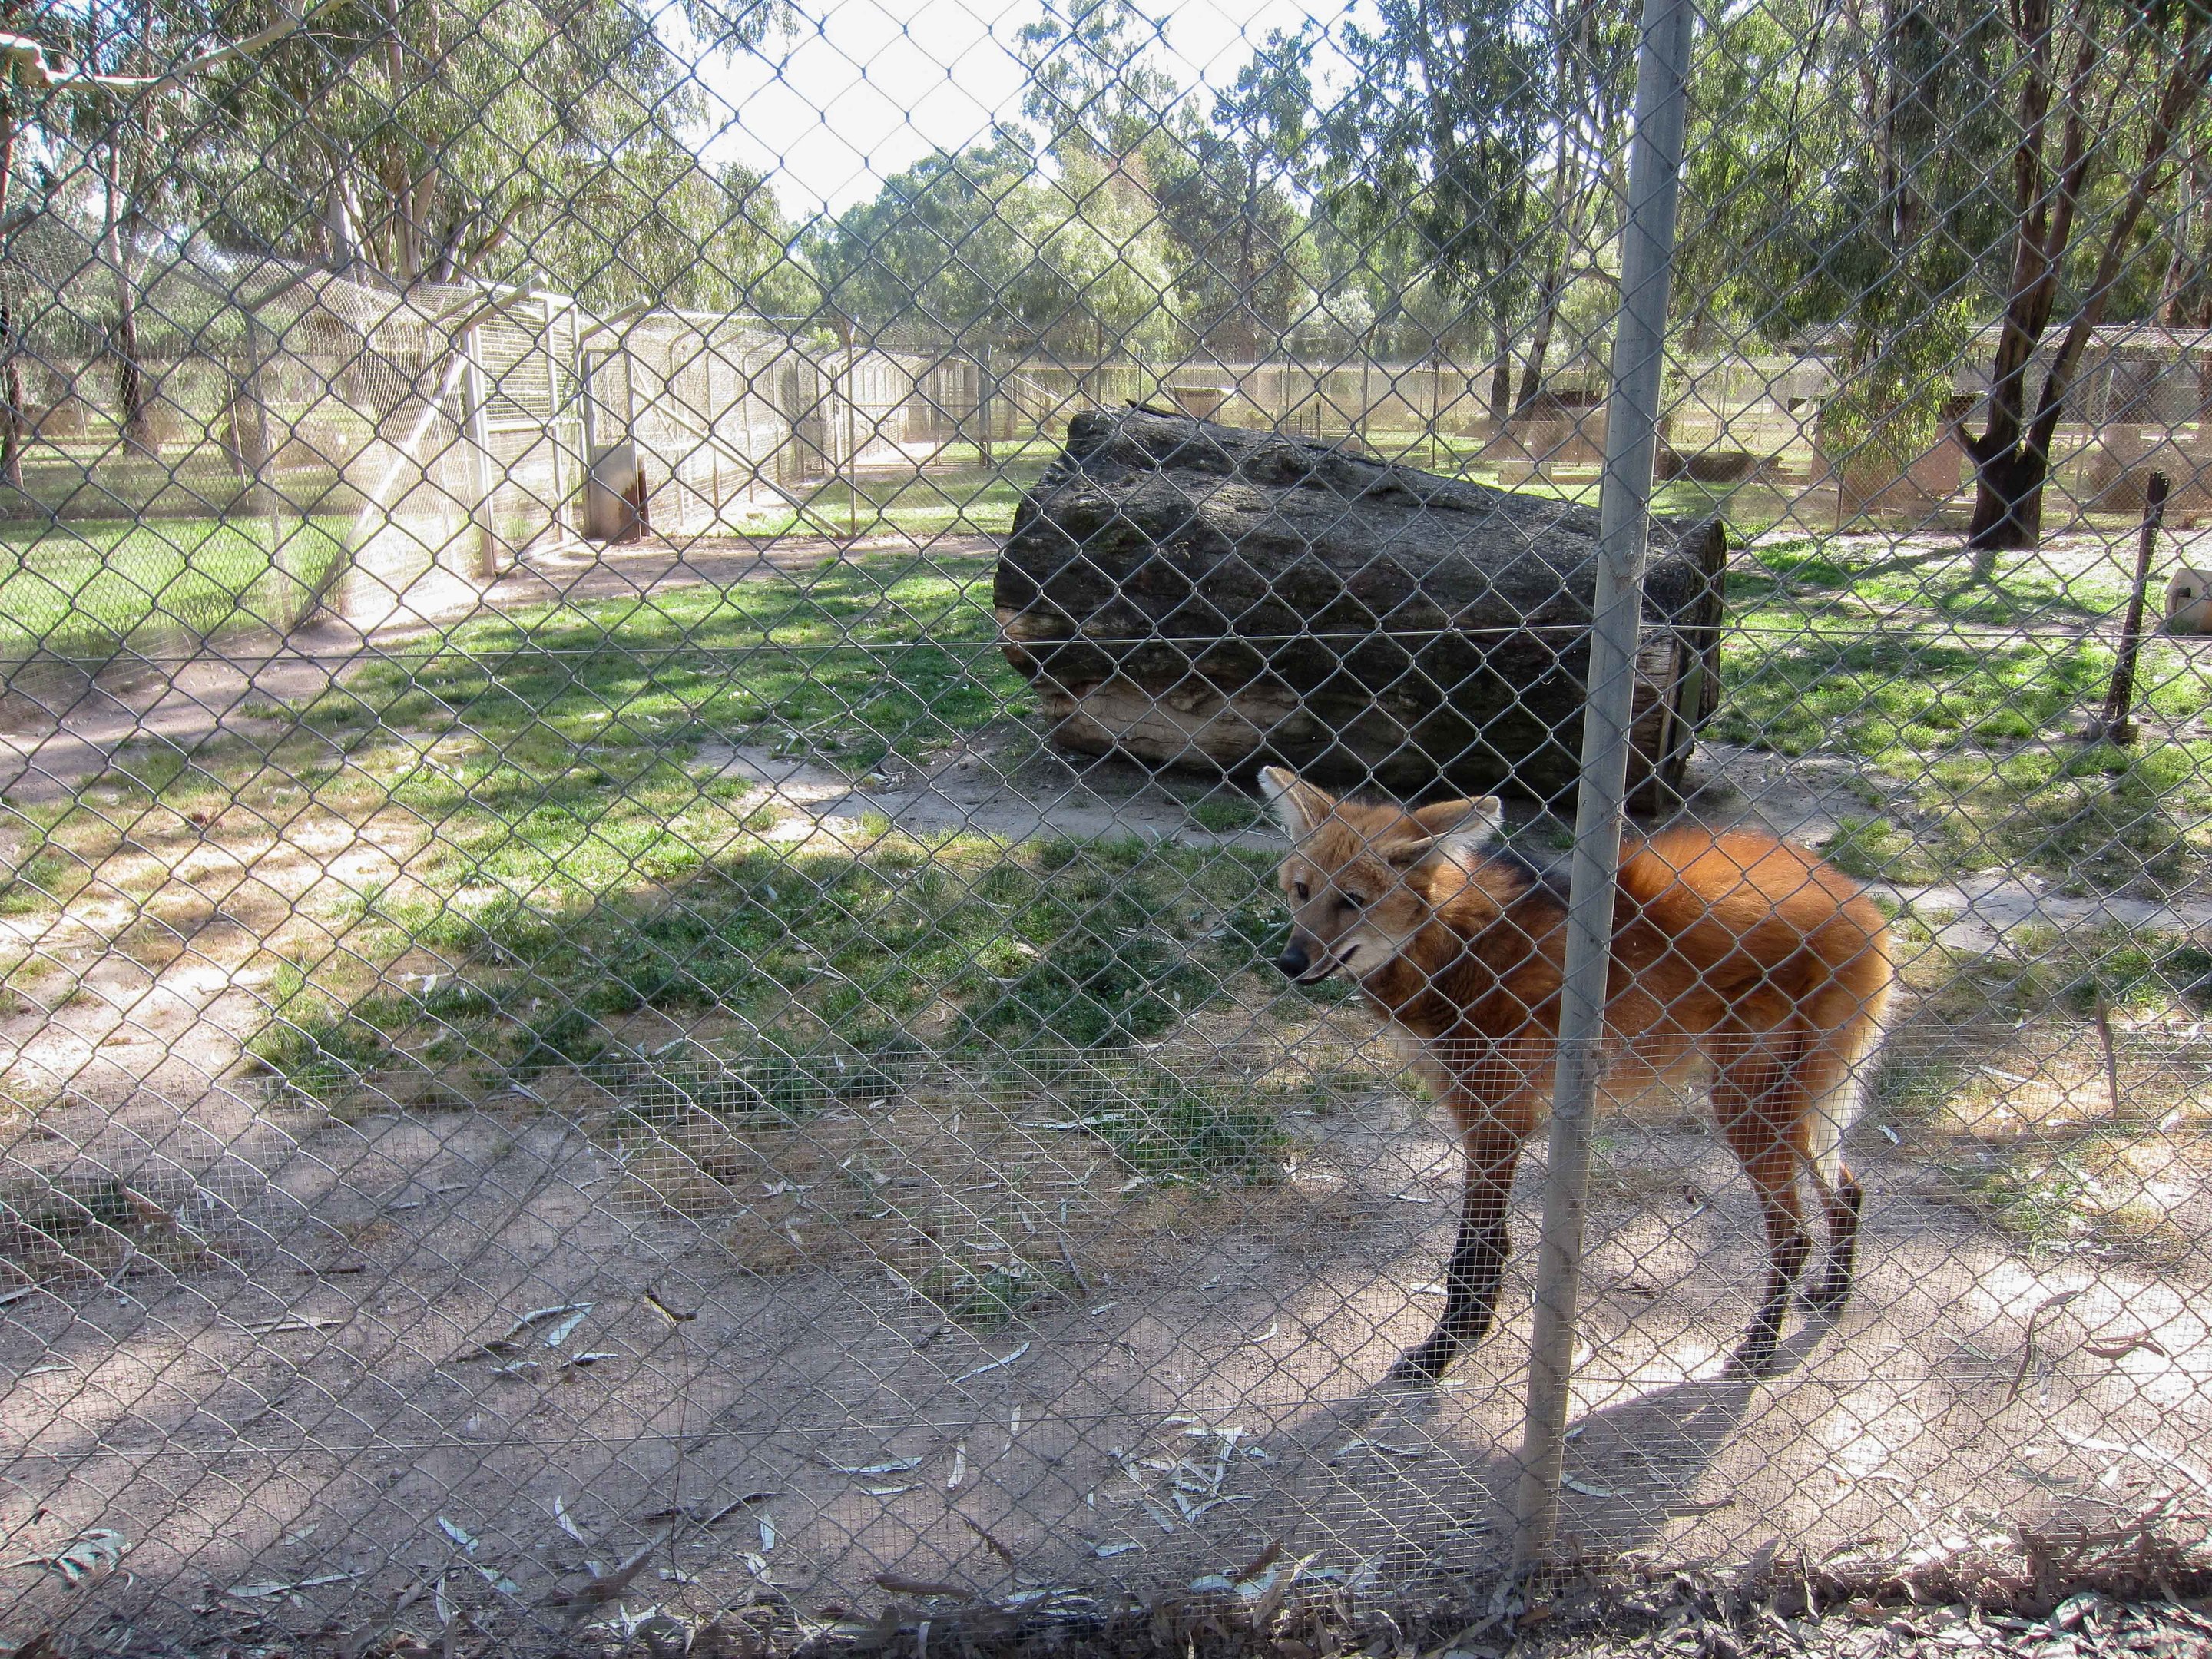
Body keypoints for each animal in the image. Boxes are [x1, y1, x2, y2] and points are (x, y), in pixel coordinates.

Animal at [1258, 768, 1894, 1382]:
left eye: (1353, 900)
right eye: (1303, 891)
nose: (1288, 963)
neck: (1454, 947)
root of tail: (1862, 905)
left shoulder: (1497, 1115)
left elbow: (1474, 1247)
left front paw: (1443, 1350)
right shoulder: (1483, 1112)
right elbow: (1492, 1242)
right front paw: (1471, 1329)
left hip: (1745, 1101)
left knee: (1793, 1233)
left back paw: (1759, 1348)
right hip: (1790, 1101)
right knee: (1848, 1189)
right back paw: (1833, 1294)